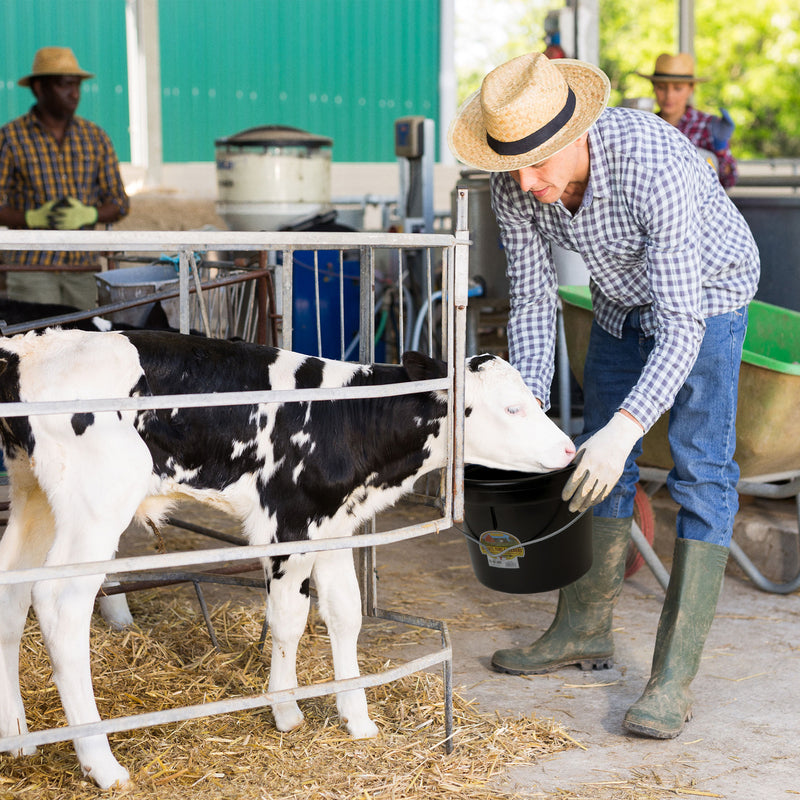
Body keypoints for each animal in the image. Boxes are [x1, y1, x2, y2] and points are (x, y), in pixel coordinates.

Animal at [0, 328, 576, 792]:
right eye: (512, 409)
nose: (571, 451)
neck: (346, 417)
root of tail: (28, 349)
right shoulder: (290, 524)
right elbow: (289, 619)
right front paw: (285, 710)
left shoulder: (334, 526)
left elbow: (345, 614)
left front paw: (357, 718)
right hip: (96, 507)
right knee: (59, 605)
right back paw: (101, 763)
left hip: (35, 496)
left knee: (13, 592)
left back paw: (19, 737)